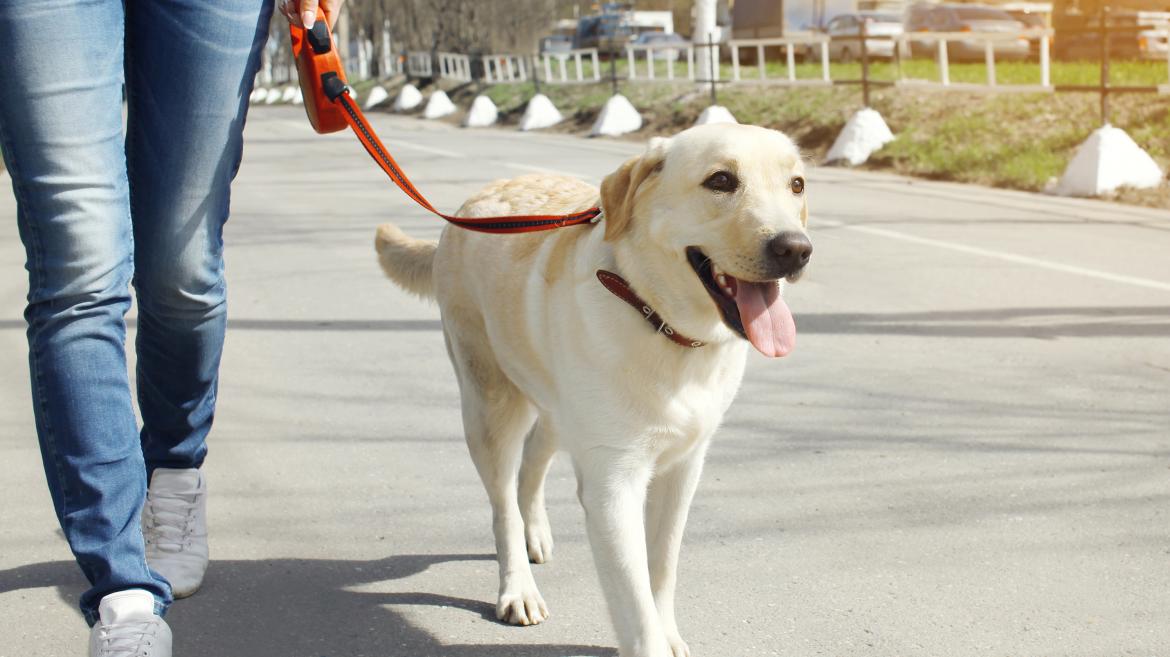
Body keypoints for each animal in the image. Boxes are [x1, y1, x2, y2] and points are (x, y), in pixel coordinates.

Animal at [376, 123, 814, 654]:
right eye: (721, 181)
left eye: (796, 185)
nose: (796, 249)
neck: (659, 321)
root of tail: (471, 203)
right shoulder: (613, 483)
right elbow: (636, 605)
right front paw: (651, 638)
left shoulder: (684, 468)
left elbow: (662, 566)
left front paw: (669, 630)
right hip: (489, 405)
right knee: (502, 503)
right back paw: (518, 587)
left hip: (556, 406)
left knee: (533, 461)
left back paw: (535, 532)